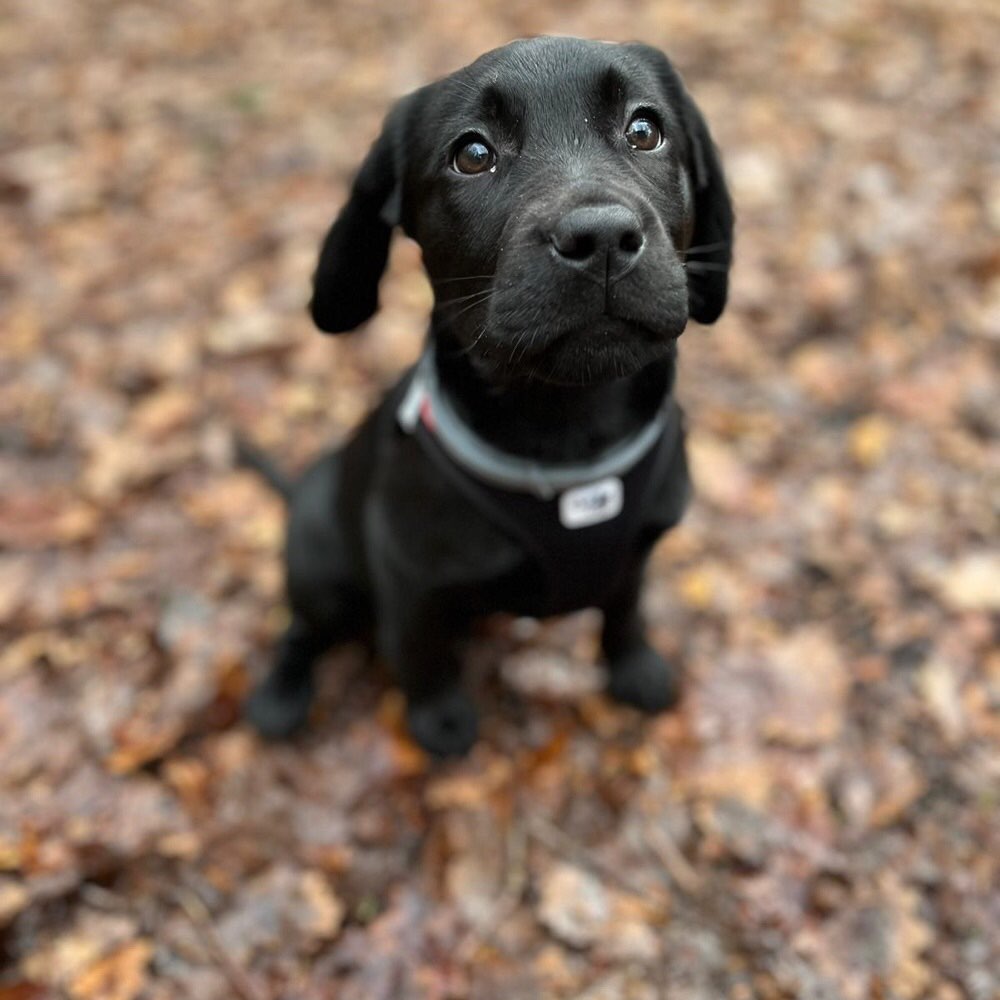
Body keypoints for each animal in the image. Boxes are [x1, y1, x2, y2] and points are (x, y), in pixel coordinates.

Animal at [248, 39, 736, 756]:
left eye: (645, 130)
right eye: (473, 154)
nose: (601, 238)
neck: (568, 438)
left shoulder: (638, 551)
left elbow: (626, 609)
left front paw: (635, 667)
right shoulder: (407, 572)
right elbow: (420, 651)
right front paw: (440, 719)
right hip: (318, 561)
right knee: (301, 631)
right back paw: (280, 696)